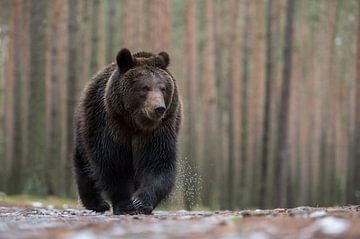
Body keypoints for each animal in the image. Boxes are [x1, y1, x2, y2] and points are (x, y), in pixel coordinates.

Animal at [73, 48, 181, 215]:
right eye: (145, 87)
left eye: (163, 88)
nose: (159, 108)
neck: (135, 123)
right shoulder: (110, 124)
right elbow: (112, 163)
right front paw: (125, 205)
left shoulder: (158, 130)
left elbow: (158, 162)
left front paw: (141, 202)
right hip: (85, 126)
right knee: (85, 165)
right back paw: (98, 204)